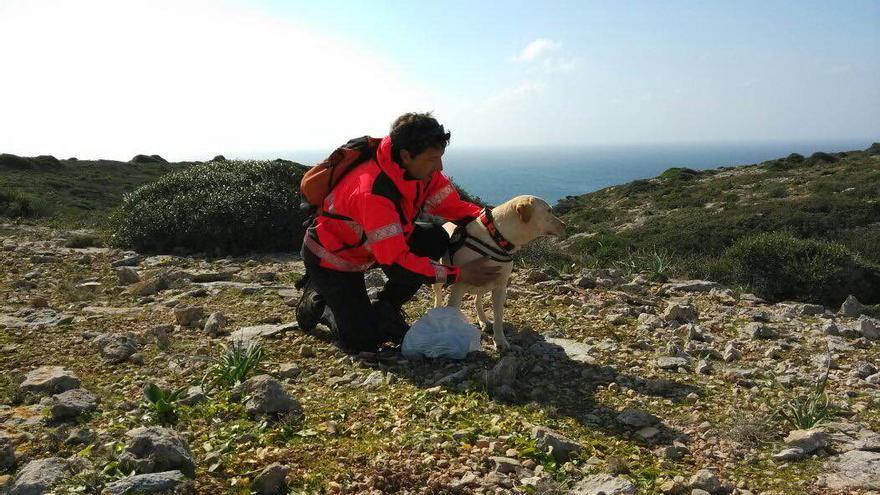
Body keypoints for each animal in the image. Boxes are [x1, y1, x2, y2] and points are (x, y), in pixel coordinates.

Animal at [432, 195, 568, 352]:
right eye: (548, 211)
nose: (564, 225)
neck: (496, 238)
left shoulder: (500, 287)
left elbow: (498, 317)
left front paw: (500, 341)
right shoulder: (460, 285)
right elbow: (452, 311)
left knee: (477, 300)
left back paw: (483, 321)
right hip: (440, 276)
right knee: (438, 296)